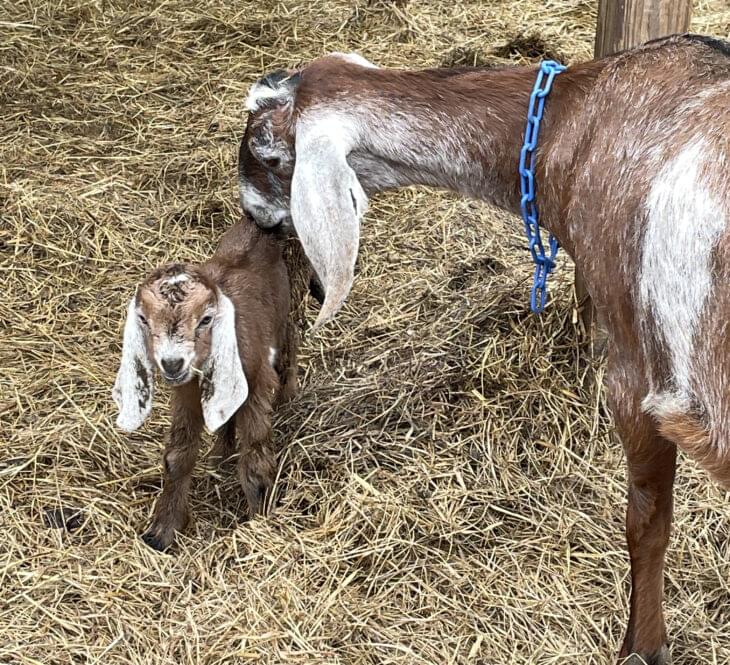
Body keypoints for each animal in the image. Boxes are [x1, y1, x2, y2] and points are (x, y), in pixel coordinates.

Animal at [112, 221, 296, 551]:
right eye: (144, 319)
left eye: (205, 319)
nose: (172, 363)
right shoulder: (187, 393)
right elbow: (177, 457)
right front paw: (162, 531)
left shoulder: (257, 383)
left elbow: (255, 462)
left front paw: (259, 521)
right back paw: (220, 456)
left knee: (292, 343)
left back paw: (288, 397)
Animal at [238, 35, 730, 664]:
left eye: (268, 151)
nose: (253, 216)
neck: (574, 121)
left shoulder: (634, 374)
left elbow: (646, 521)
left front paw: (641, 647)